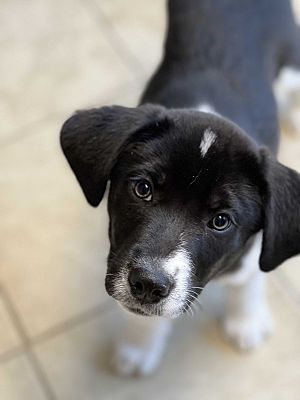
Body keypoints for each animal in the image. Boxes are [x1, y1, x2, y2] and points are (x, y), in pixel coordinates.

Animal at [59, 0, 300, 376]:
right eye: (142, 189)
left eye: (221, 221)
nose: (148, 284)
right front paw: (139, 346)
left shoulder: (255, 248)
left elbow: (251, 279)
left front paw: (246, 322)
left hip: (291, 59)